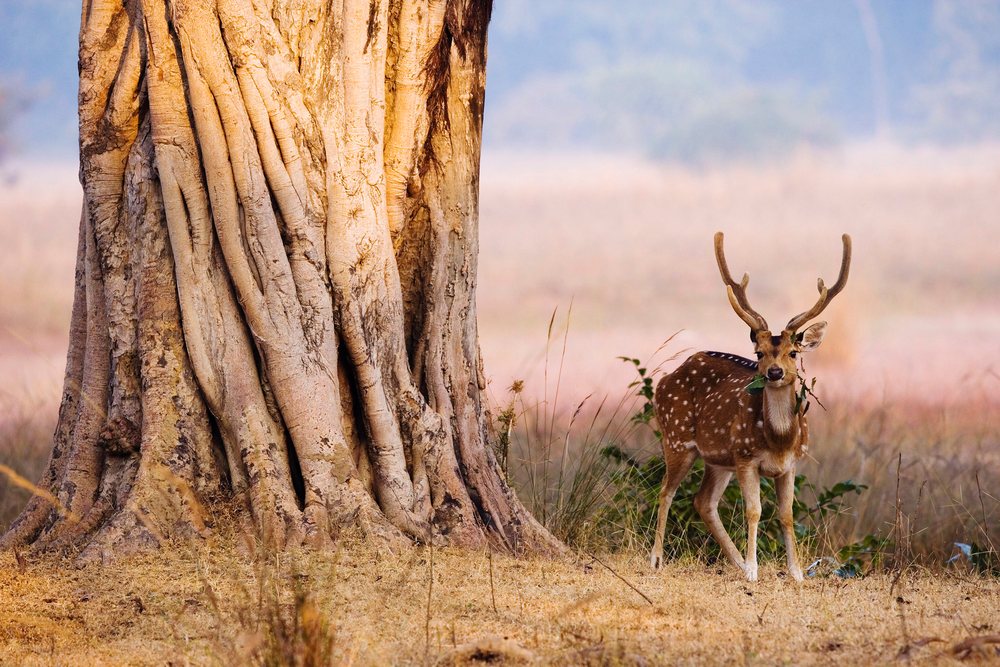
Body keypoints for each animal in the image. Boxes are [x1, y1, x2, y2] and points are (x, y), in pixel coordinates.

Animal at [648, 232, 851, 582]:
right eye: (759, 353)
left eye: (793, 352)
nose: (774, 372)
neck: (778, 441)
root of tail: (663, 380)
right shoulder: (745, 457)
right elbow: (754, 511)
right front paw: (754, 570)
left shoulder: (792, 463)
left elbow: (786, 514)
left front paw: (796, 572)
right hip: (676, 438)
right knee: (666, 491)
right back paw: (657, 559)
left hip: (718, 459)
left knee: (703, 501)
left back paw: (736, 561)